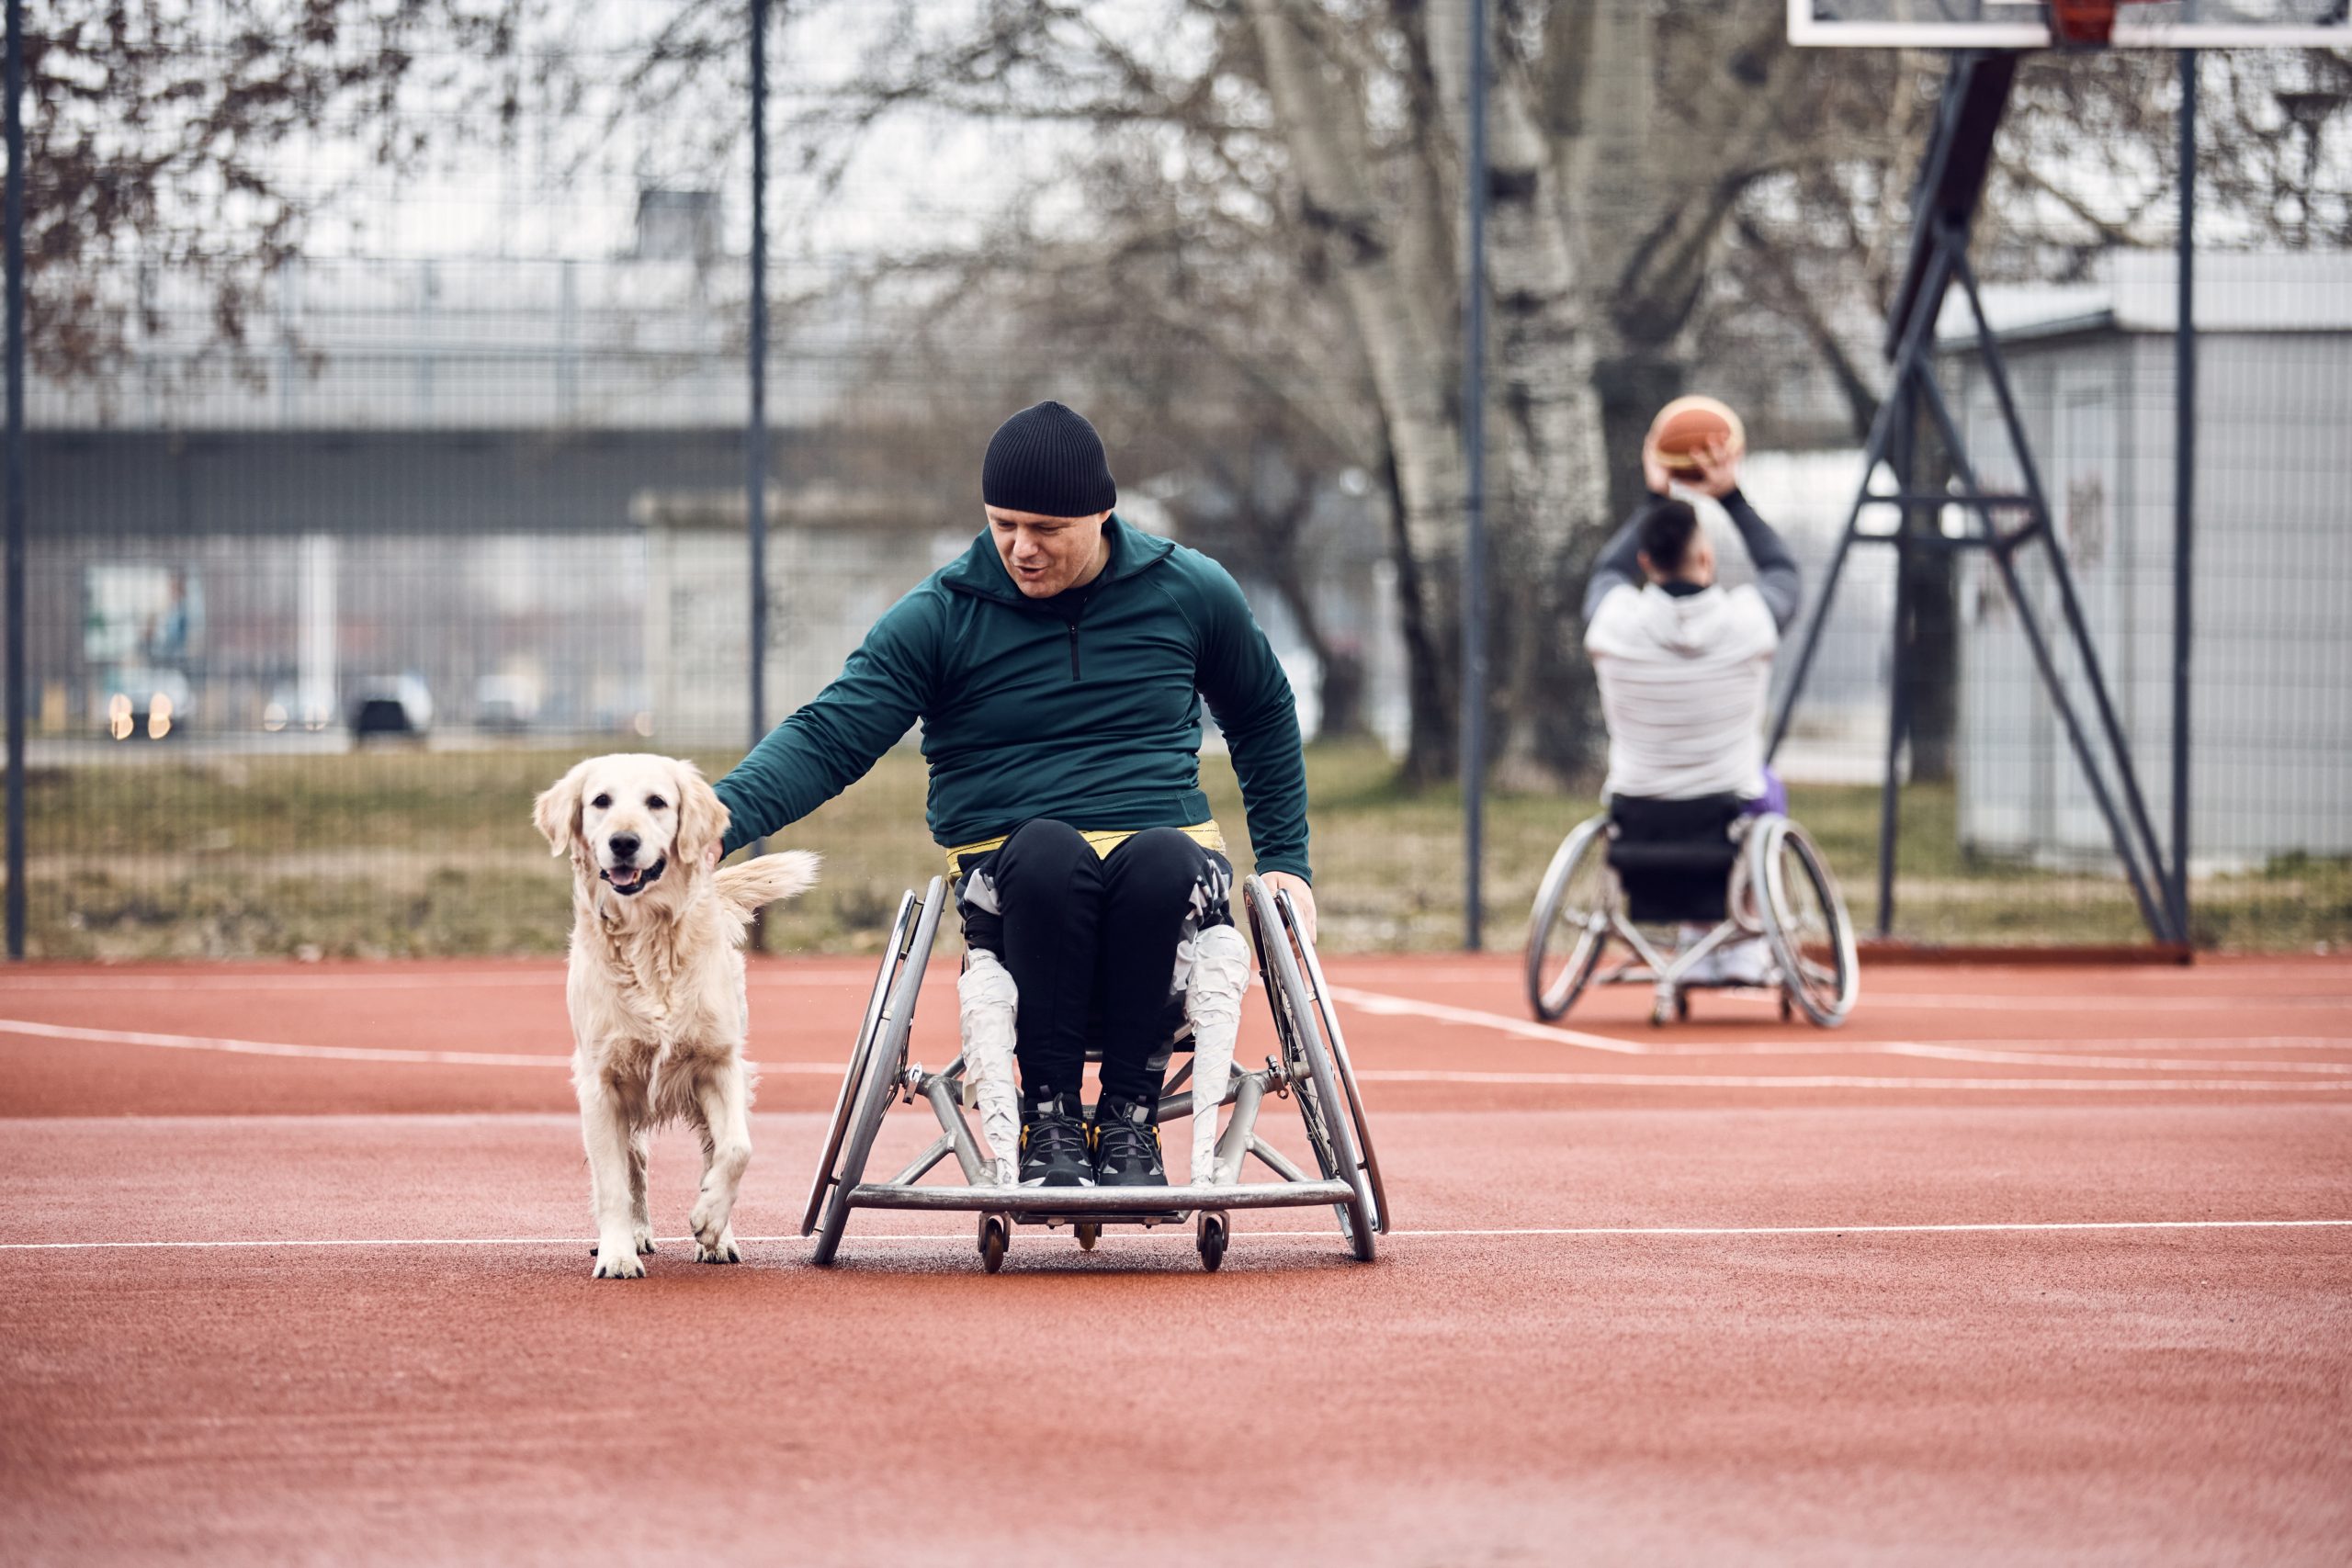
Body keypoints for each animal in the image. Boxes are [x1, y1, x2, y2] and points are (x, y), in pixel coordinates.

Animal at [531, 751, 818, 1279]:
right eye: (600, 801)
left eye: (657, 802)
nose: (624, 842)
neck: (647, 937)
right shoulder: (602, 1083)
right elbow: (612, 1183)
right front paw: (617, 1253)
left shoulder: (719, 1064)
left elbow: (737, 1150)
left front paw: (709, 1219)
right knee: (634, 1165)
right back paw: (639, 1234)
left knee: (710, 1152)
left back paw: (719, 1239)